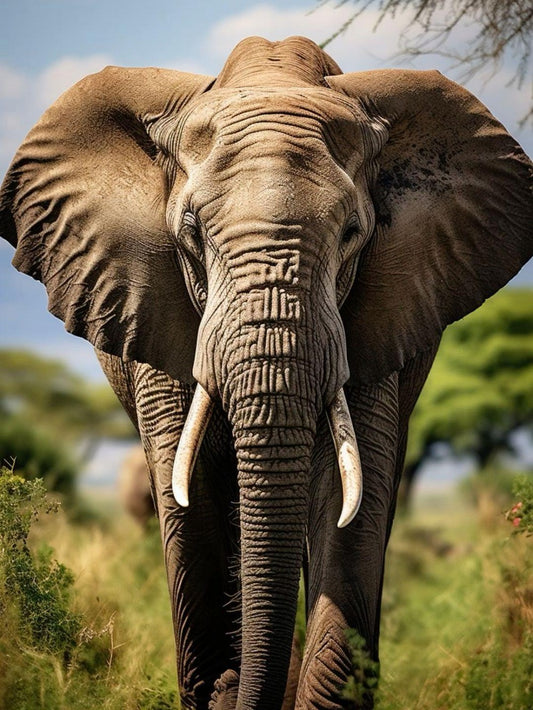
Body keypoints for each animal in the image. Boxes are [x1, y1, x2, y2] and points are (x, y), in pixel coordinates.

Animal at [1, 35, 531, 710]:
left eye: (353, 233)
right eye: (191, 233)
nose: (232, 689)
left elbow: (348, 500)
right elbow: (190, 496)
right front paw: (218, 688)